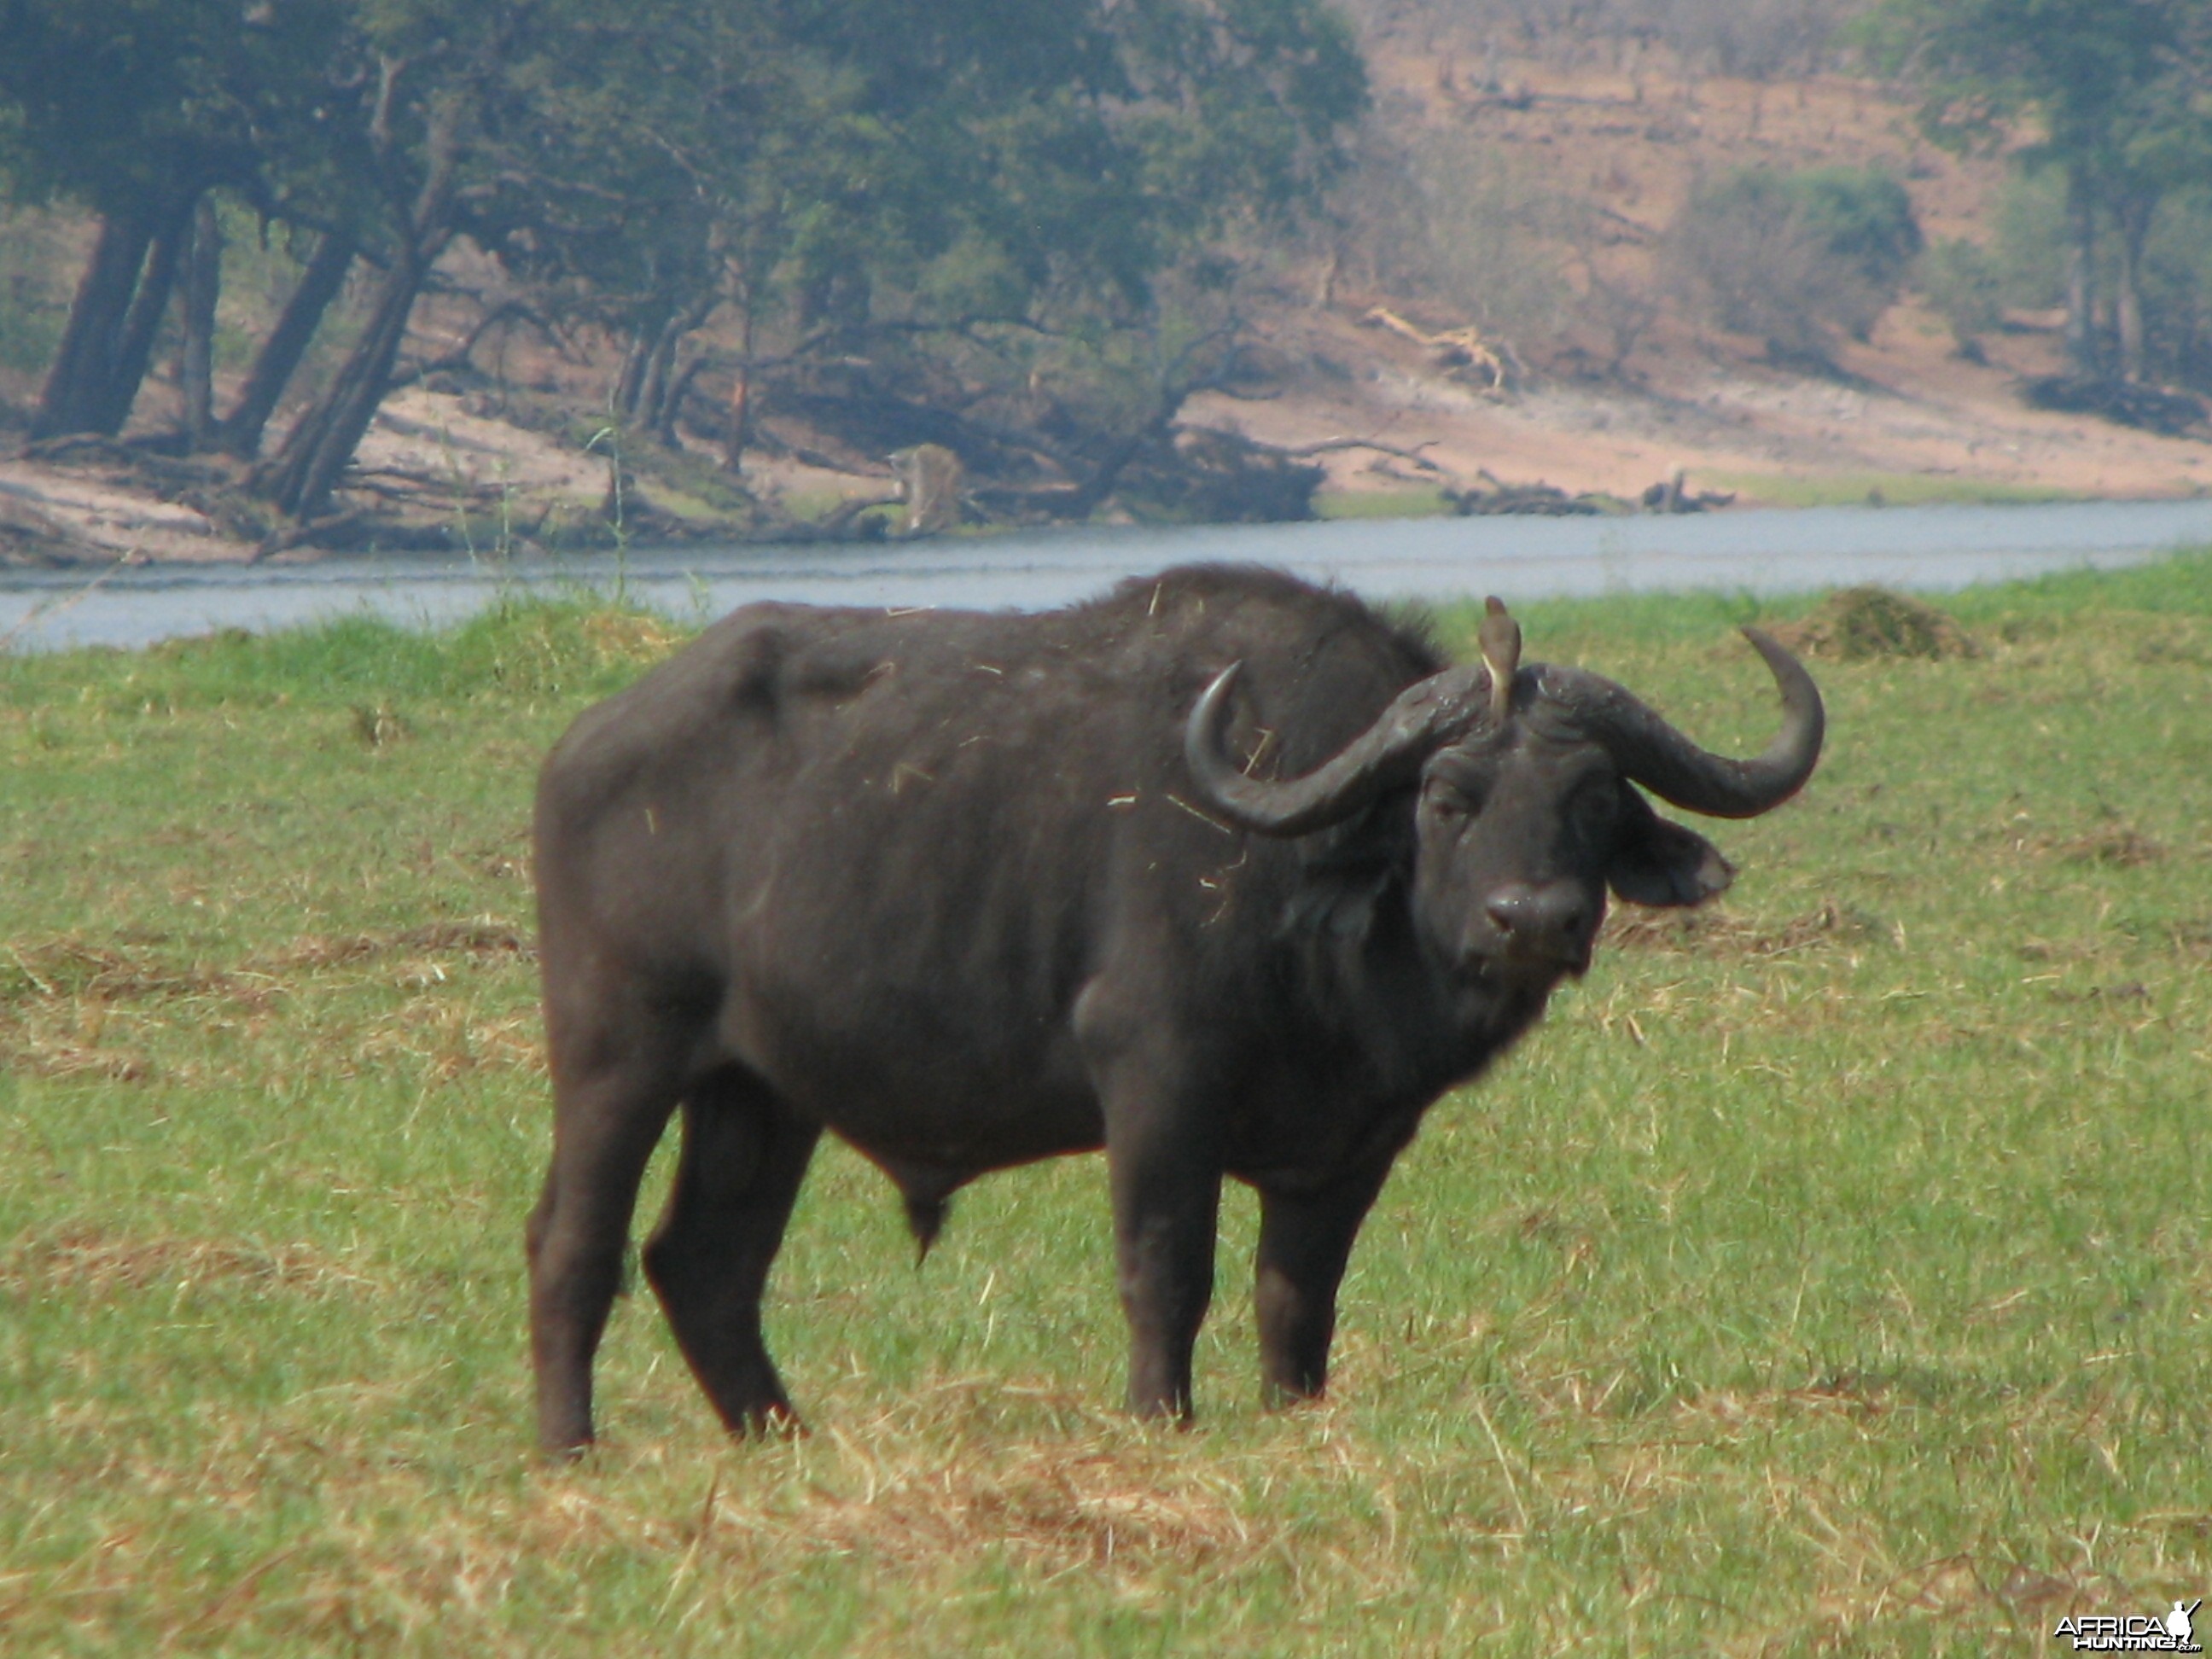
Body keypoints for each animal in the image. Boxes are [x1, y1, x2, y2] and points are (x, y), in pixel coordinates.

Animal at [521, 570, 1813, 1451]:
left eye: (1593, 799)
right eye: (1447, 798)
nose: (1533, 919)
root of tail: (585, 742)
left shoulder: (1353, 1143)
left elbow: (1298, 1294)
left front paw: (1293, 1411)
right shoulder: (1157, 1086)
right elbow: (1167, 1267)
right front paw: (1161, 1419)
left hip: (762, 1092)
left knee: (707, 1261)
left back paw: (780, 1437)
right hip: (619, 1052)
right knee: (575, 1244)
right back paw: (570, 1448)